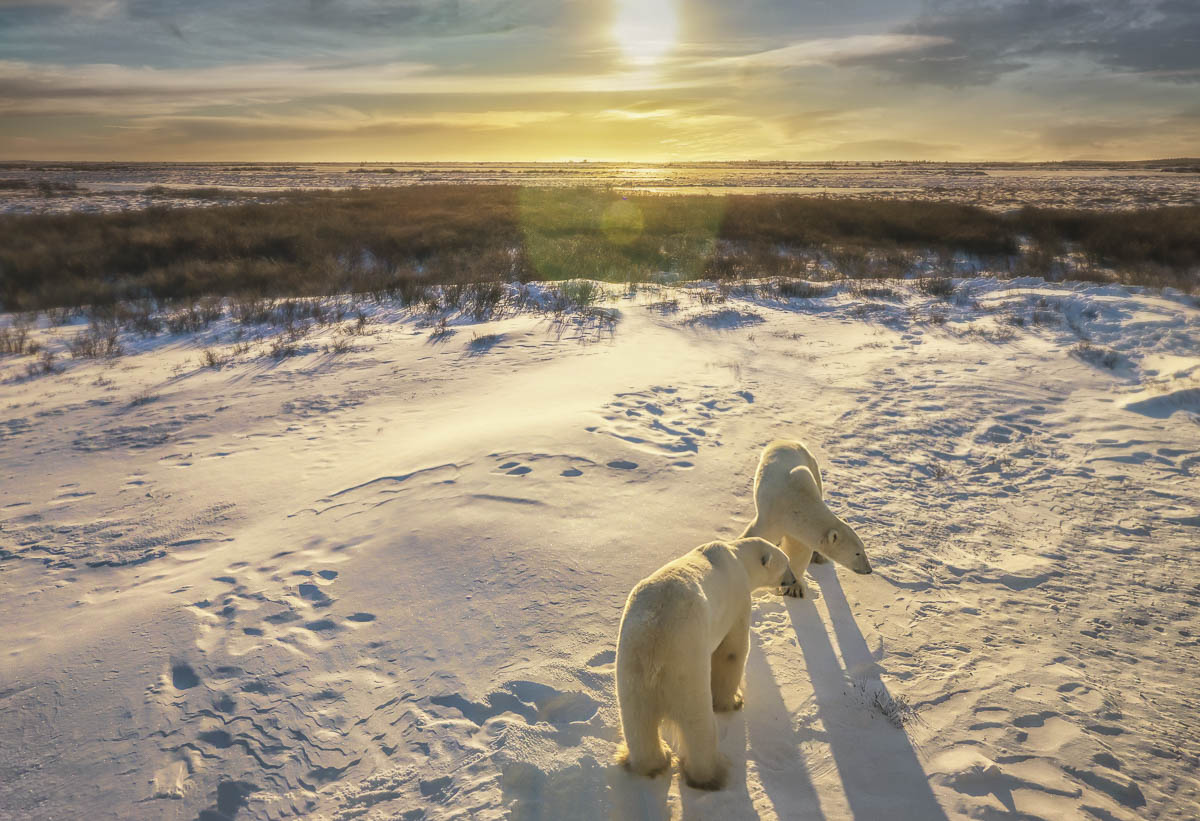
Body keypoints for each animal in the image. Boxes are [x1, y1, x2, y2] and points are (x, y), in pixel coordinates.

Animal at [619, 537, 796, 787]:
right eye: (786, 563)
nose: (794, 579)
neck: (737, 557)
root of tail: (654, 646)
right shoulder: (738, 600)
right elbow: (731, 651)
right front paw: (733, 701)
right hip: (686, 667)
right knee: (698, 725)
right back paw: (711, 774)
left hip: (631, 669)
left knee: (638, 723)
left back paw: (655, 762)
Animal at [739, 441, 873, 595]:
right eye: (857, 553)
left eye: (863, 548)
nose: (869, 570)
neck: (797, 503)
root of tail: (786, 441)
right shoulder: (772, 516)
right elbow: (757, 536)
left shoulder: (798, 529)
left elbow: (799, 551)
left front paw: (794, 589)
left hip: (813, 467)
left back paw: (818, 556)